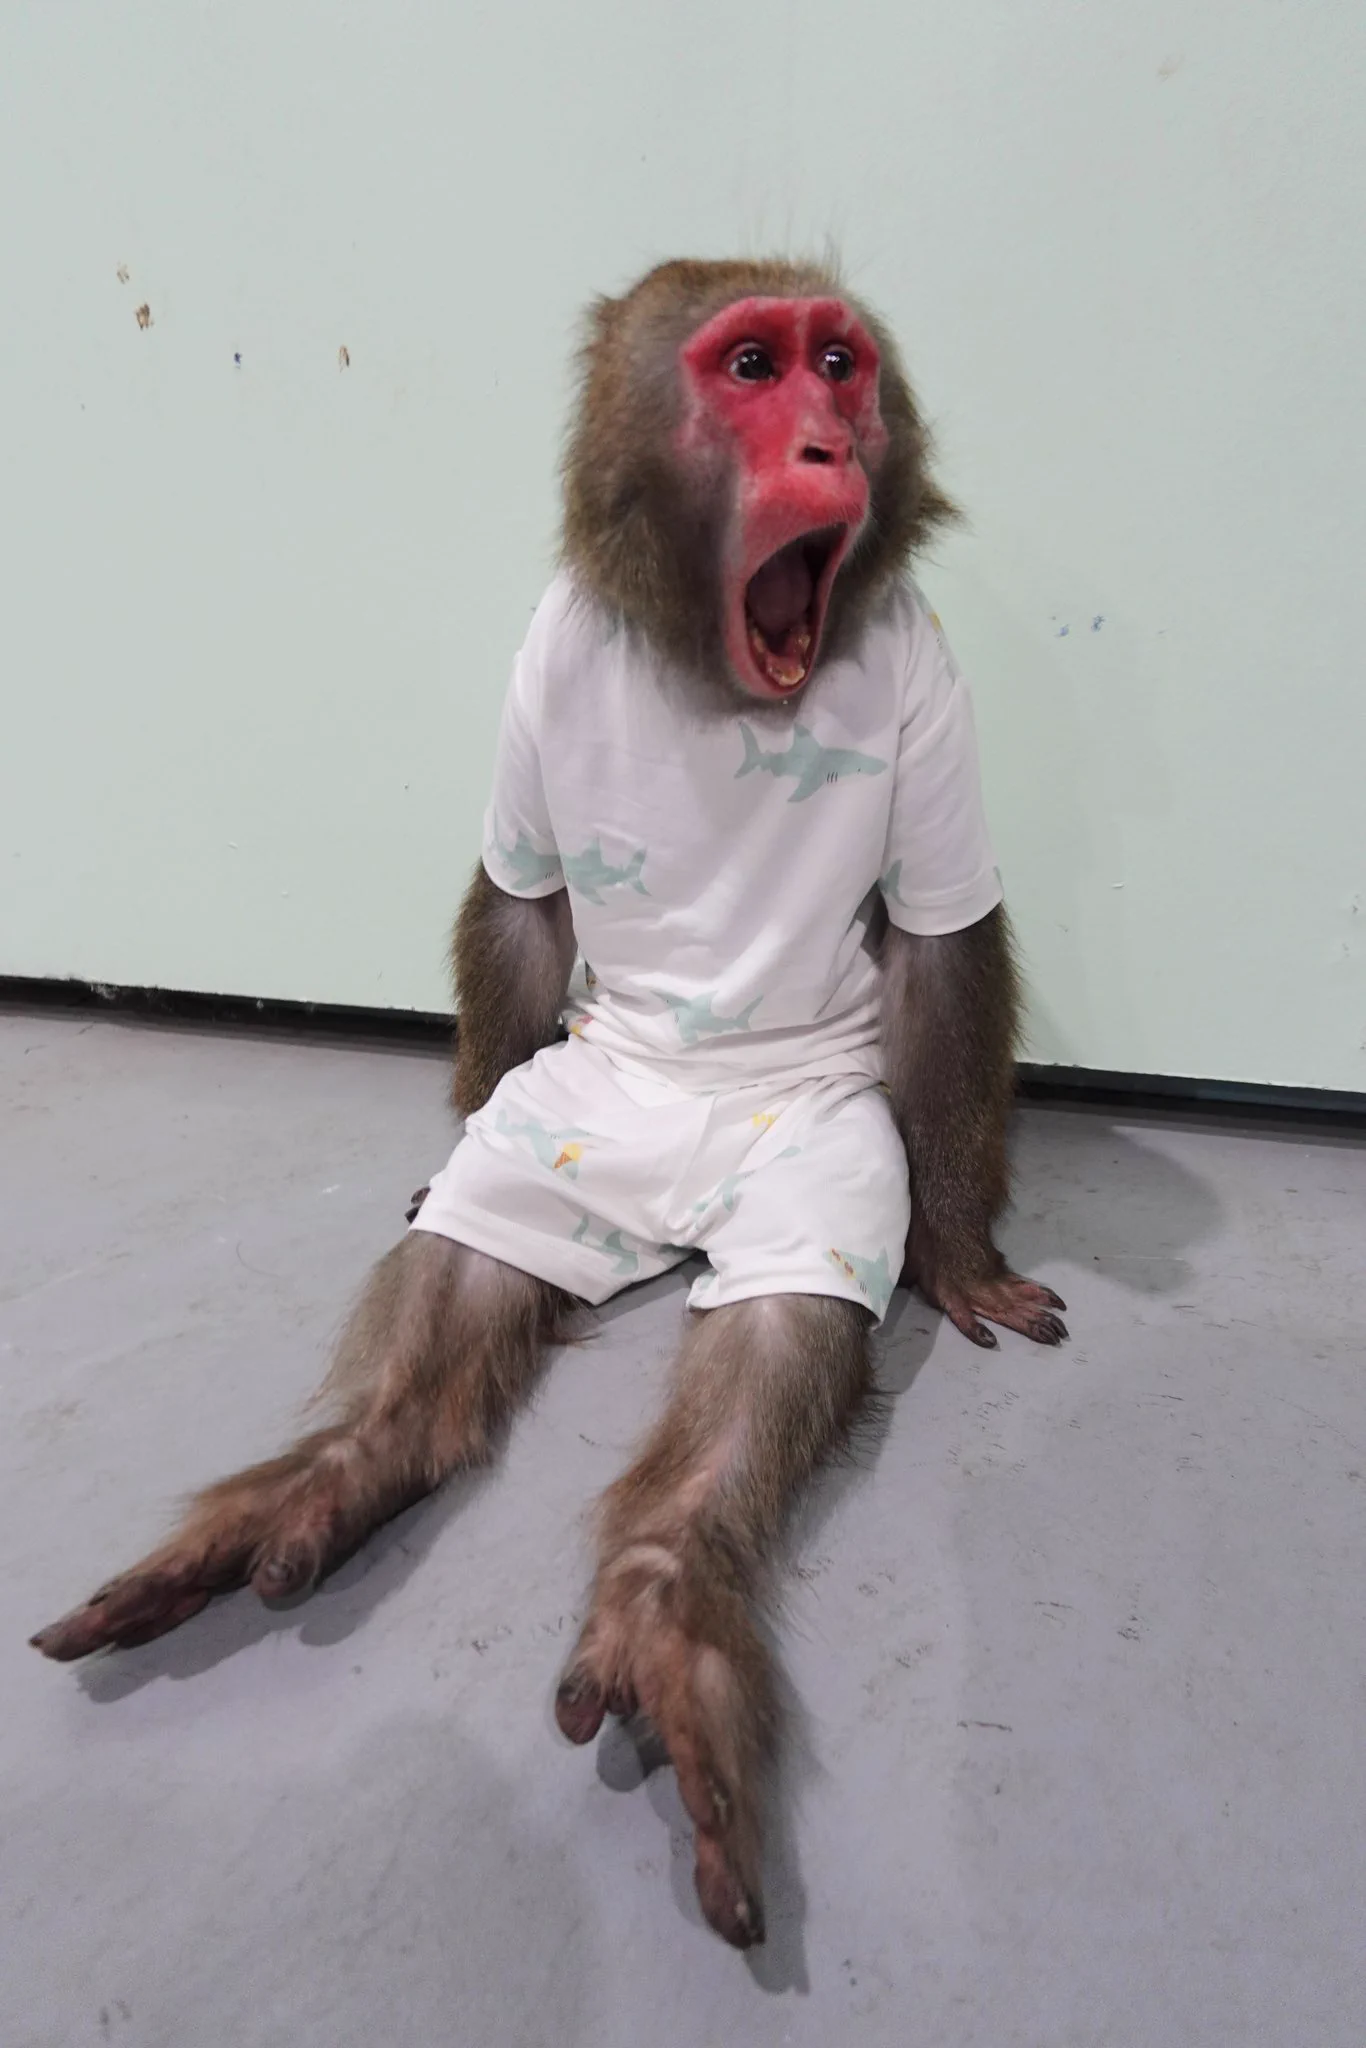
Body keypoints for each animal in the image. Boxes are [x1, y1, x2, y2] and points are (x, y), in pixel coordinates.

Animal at [31, 256, 1067, 1951]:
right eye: (754, 368)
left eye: (839, 367)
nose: (825, 448)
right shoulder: (549, 656)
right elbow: (521, 902)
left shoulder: (920, 678)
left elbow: (937, 944)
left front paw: (959, 1257)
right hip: (555, 1125)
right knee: (473, 1250)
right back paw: (345, 1466)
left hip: (807, 1170)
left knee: (778, 1313)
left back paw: (663, 1596)